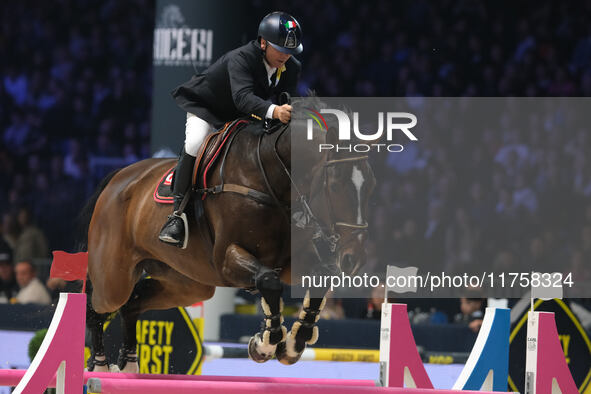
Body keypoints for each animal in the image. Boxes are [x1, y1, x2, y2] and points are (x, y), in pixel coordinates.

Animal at [82, 100, 374, 370]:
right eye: (335, 185)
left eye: (372, 185)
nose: (354, 259)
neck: (274, 177)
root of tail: (118, 178)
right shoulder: (228, 259)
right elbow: (268, 282)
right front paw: (264, 345)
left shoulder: (291, 263)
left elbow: (323, 277)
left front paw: (292, 344)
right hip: (114, 278)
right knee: (98, 307)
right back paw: (100, 364)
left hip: (186, 283)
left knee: (132, 303)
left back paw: (128, 364)